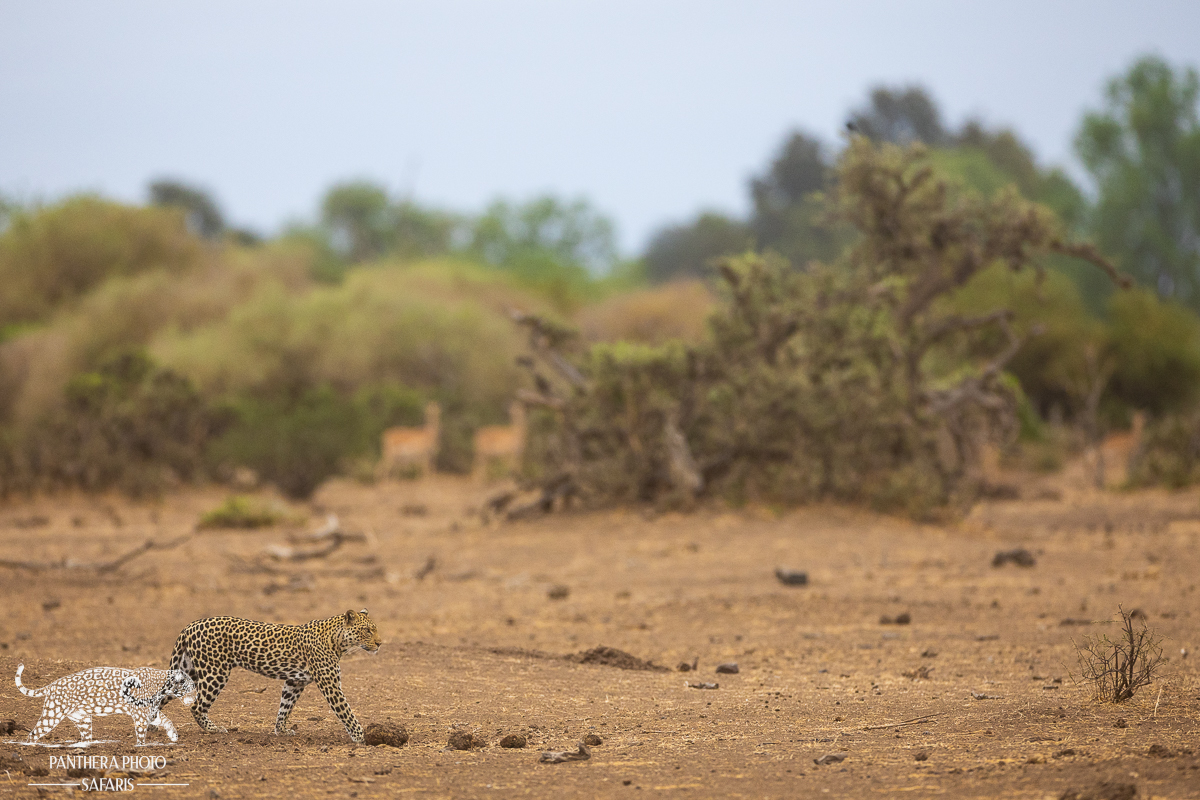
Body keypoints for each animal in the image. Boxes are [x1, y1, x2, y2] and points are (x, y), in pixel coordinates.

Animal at [14, 664, 196, 746]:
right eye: (190, 687)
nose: (194, 699)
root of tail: (52, 684)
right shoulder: (140, 714)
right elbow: (141, 732)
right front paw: (141, 746)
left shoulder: (149, 711)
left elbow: (166, 719)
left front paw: (173, 734)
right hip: (52, 714)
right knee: (34, 733)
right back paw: (31, 746)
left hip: (82, 719)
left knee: (85, 736)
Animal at [167, 608, 381, 744]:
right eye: (367, 630)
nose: (380, 643)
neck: (337, 641)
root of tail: (190, 625)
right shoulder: (330, 684)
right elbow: (346, 711)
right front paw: (361, 737)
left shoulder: (295, 681)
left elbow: (285, 707)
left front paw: (281, 730)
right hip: (215, 672)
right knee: (197, 706)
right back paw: (213, 729)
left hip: (186, 671)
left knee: (163, 695)